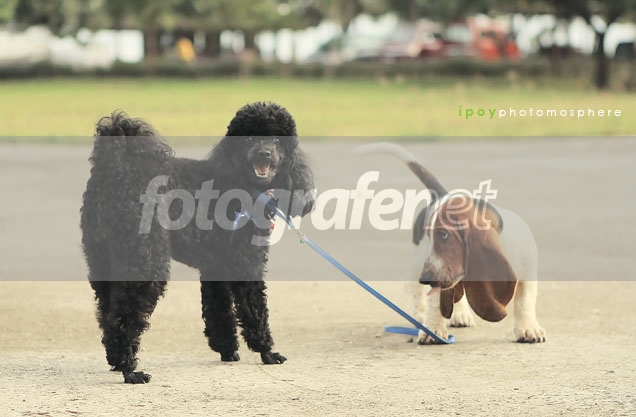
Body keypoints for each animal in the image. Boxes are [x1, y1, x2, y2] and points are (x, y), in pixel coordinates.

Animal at [81, 102, 315, 383]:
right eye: (248, 139)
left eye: (278, 139)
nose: (265, 153)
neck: (239, 181)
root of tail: (115, 174)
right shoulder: (247, 264)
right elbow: (255, 309)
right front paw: (267, 352)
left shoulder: (217, 268)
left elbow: (219, 311)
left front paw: (227, 351)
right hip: (145, 260)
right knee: (124, 315)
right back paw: (129, 370)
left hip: (103, 258)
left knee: (108, 313)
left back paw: (116, 361)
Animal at [353, 143, 546, 344]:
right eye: (430, 235)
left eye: (444, 235)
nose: (425, 278)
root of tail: (440, 195)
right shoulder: (438, 272)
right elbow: (435, 304)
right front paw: (432, 329)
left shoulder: (527, 273)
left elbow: (525, 302)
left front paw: (529, 329)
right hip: (417, 262)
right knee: (413, 288)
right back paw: (420, 317)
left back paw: (459, 315)